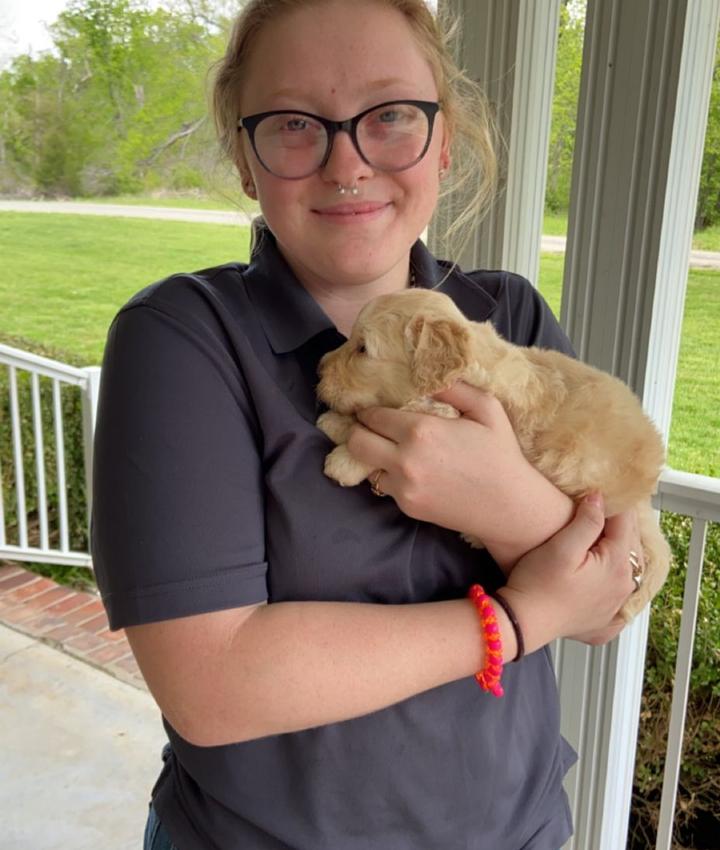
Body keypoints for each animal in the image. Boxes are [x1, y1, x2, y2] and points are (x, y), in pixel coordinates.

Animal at [318, 284, 672, 616]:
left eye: (362, 348)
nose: (319, 368)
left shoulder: (454, 413)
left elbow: (411, 411)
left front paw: (346, 459)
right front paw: (337, 422)